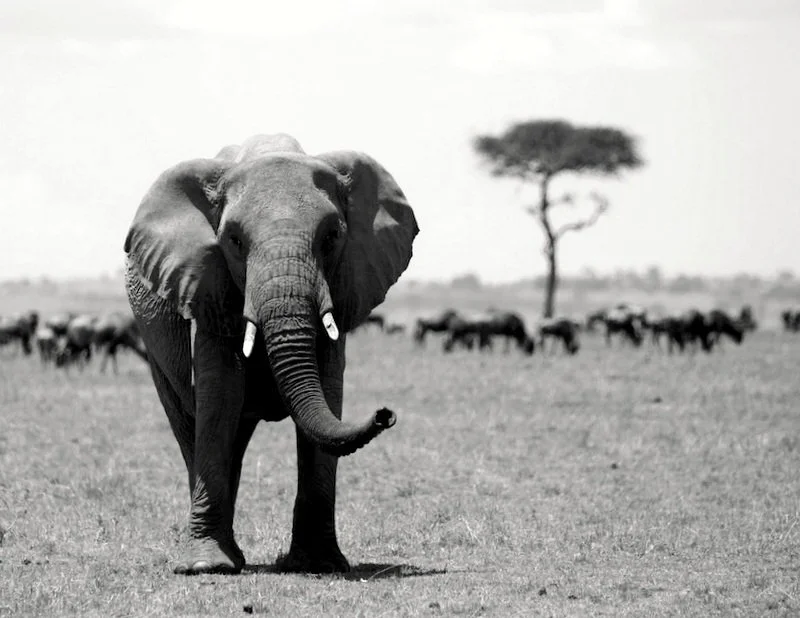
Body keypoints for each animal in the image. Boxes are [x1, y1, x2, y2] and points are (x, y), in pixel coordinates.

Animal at [123, 133, 418, 575]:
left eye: (331, 237)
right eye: (234, 241)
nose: (386, 414)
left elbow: (328, 388)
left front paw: (319, 564)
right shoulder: (209, 283)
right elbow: (220, 393)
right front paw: (205, 567)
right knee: (191, 422)